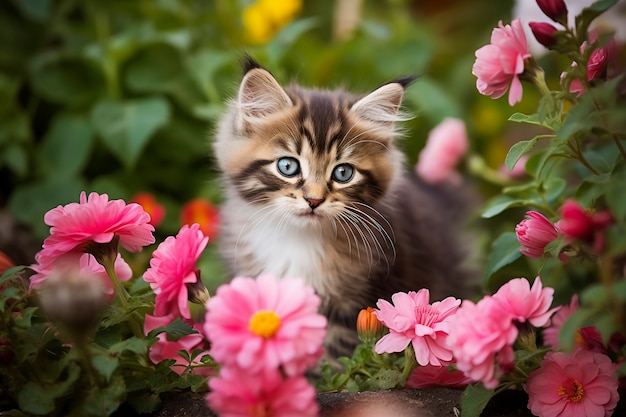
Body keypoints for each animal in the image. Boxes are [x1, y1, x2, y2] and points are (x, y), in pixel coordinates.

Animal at [213, 57, 472, 360]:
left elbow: (335, 357)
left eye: (343, 173)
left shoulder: (356, 302)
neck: (299, 240)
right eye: (288, 166)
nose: (314, 200)